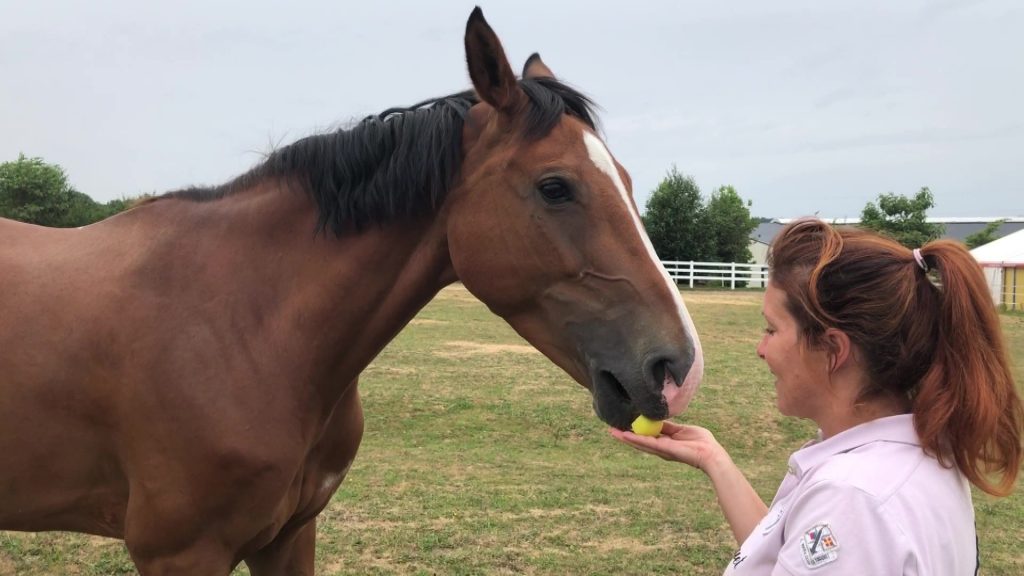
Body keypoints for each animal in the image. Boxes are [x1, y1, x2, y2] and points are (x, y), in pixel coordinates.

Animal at [0, 8, 704, 573]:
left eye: (627, 180)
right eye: (555, 186)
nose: (678, 367)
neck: (242, 328)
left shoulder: (288, 536)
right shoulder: (180, 553)